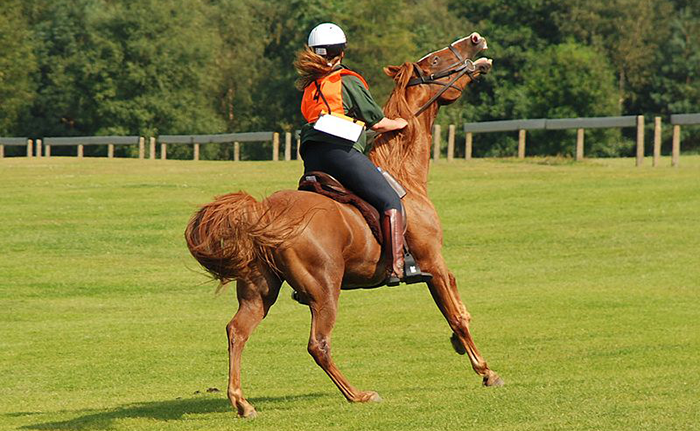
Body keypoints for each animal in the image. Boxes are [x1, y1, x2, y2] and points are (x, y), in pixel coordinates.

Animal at [186, 33, 500, 418]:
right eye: (436, 60)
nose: (475, 40)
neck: (404, 174)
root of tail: (266, 213)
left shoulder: (438, 268)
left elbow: (458, 309)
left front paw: (462, 348)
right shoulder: (432, 263)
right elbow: (456, 316)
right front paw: (486, 371)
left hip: (259, 289)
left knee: (237, 332)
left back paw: (242, 402)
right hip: (325, 290)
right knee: (318, 345)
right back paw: (358, 394)